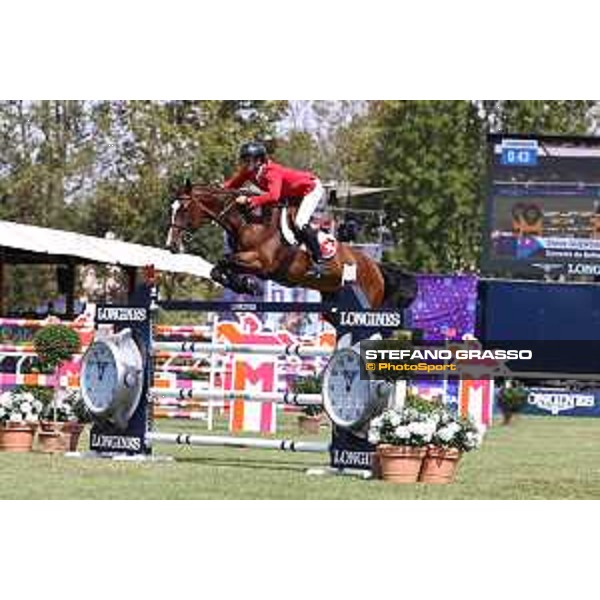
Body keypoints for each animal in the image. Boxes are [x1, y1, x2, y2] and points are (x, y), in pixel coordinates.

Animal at [164, 182, 418, 312]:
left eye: (183, 209)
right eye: (172, 208)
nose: (171, 246)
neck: (249, 221)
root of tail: (376, 267)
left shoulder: (261, 263)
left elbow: (224, 261)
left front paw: (246, 284)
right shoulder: (246, 260)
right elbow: (218, 268)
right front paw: (244, 285)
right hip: (332, 296)